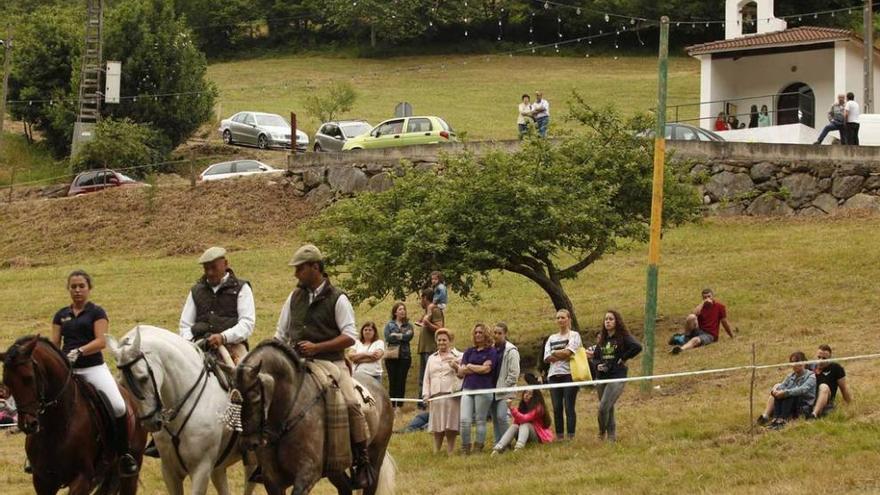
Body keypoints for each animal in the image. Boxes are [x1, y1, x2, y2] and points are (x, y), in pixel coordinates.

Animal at [0, 338, 147, 495]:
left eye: (28, 378)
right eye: (7, 382)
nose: (28, 425)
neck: (56, 425)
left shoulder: (82, 478)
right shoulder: (42, 481)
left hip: (131, 468)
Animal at [107, 326, 258, 495]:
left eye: (144, 378)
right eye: (122, 383)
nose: (150, 423)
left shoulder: (201, 470)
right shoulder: (169, 471)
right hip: (218, 468)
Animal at [235, 340, 398, 495]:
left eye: (256, 398)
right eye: (234, 399)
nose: (248, 443)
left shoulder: (308, 472)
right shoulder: (272, 480)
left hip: (376, 456)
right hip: (336, 467)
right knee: (345, 488)